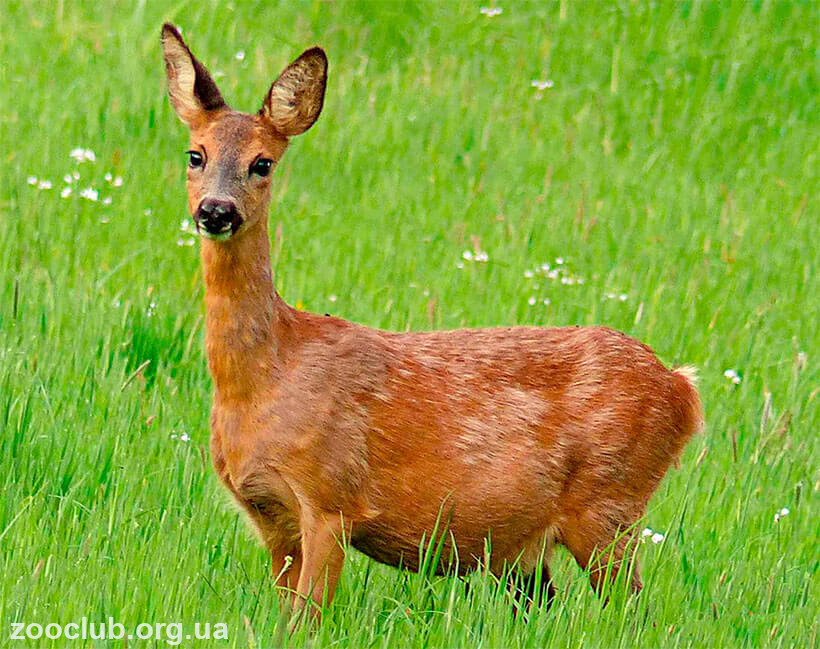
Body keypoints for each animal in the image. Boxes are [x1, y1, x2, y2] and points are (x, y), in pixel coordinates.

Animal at [162, 24, 704, 616]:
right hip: (529, 550)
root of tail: (682, 389)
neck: (266, 377)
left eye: (263, 163)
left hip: (608, 499)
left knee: (637, 614)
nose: (216, 211)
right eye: (195, 154)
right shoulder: (270, 516)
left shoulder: (330, 499)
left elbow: (311, 617)